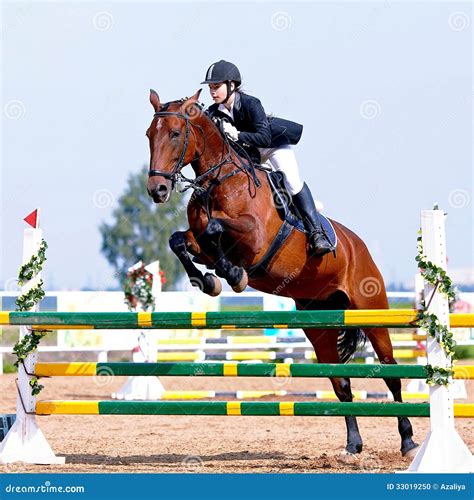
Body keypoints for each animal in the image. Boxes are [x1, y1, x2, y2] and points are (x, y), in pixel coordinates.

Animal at [145, 88, 418, 458]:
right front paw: (210, 280)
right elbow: (180, 241)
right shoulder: (198, 240)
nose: (157, 190)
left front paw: (233, 275)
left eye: (175, 134)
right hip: (318, 324)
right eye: (149, 135)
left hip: (370, 311)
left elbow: (216, 229)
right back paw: (352, 444)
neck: (217, 181)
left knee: (390, 373)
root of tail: (358, 246)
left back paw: (408, 440)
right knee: (341, 381)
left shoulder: (255, 239)